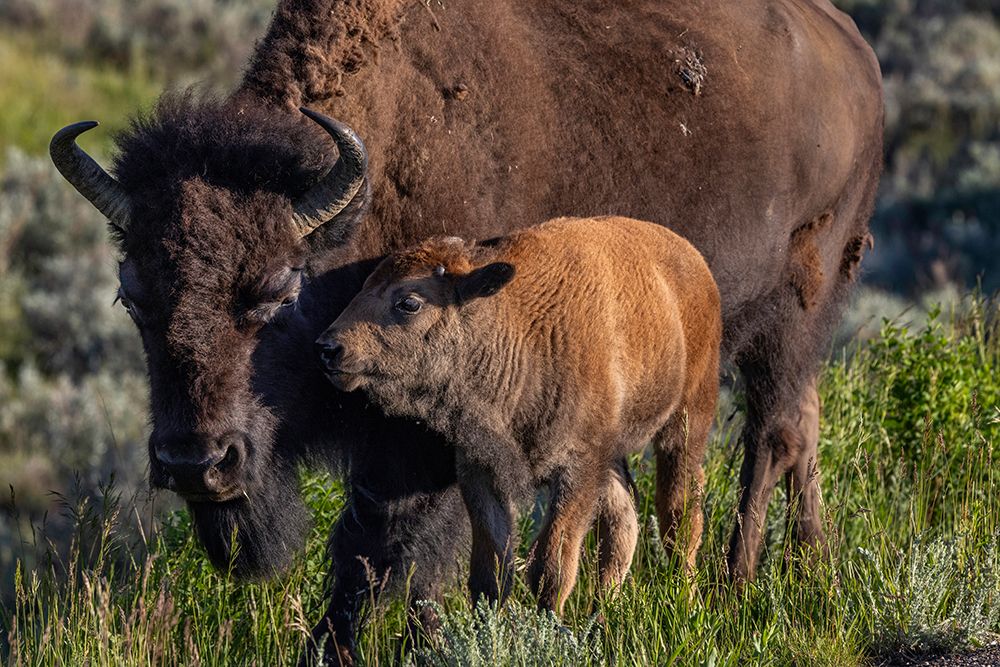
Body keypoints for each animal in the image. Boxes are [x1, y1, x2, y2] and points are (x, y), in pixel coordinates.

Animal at [316, 217, 722, 613]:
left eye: (409, 302)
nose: (328, 347)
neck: (513, 327)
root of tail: (694, 262)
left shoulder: (578, 469)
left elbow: (551, 566)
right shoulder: (481, 471)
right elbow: (491, 571)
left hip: (686, 422)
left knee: (679, 515)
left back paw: (684, 601)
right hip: (614, 456)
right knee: (624, 522)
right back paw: (602, 611)